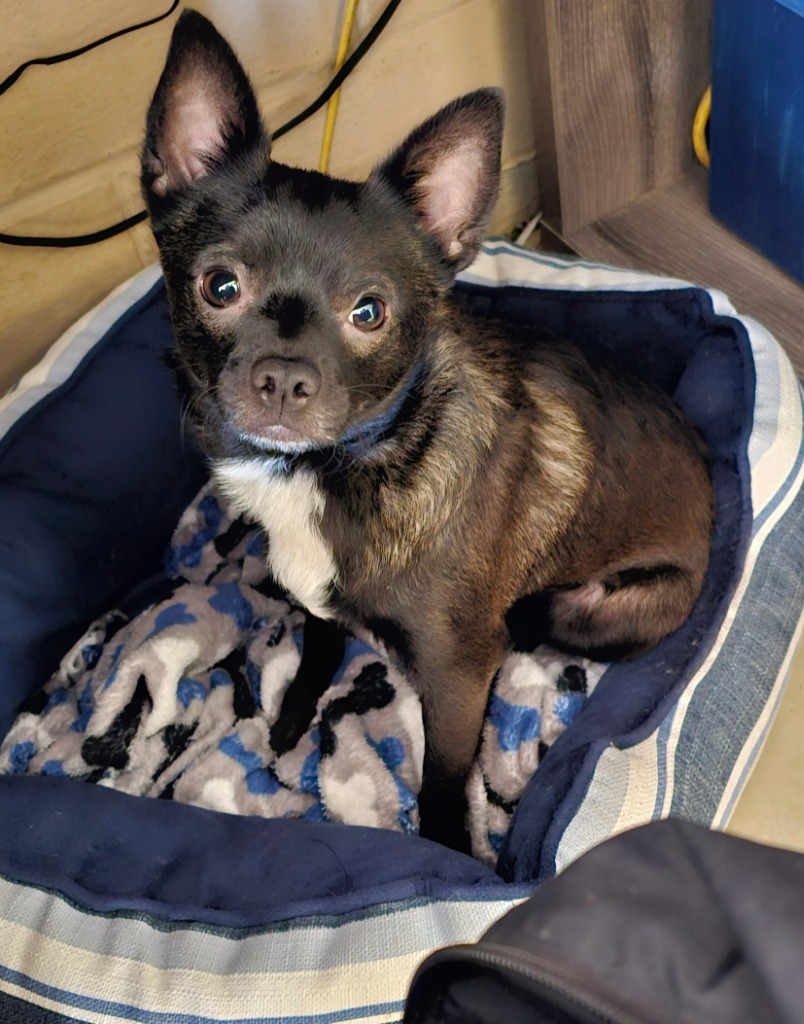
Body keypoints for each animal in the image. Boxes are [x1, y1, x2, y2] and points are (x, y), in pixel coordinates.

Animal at [141, 12, 712, 851]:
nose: (283, 377)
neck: (337, 467)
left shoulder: (458, 673)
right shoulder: (315, 596)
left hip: (590, 606)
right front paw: (294, 714)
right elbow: (318, 643)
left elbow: (442, 773)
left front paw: (448, 852)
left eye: (369, 312)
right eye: (220, 286)